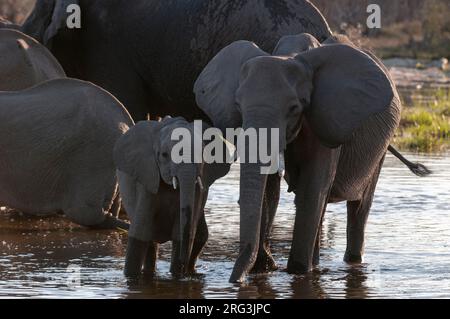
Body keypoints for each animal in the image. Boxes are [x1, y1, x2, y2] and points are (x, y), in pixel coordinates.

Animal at [114, 117, 230, 278]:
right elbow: (140, 231)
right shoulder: (147, 177)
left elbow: (180, 234)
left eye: (202, 155)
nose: (183, 264)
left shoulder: (199, 188)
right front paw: (130, 276)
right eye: (164, 155)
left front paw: (177, 274)